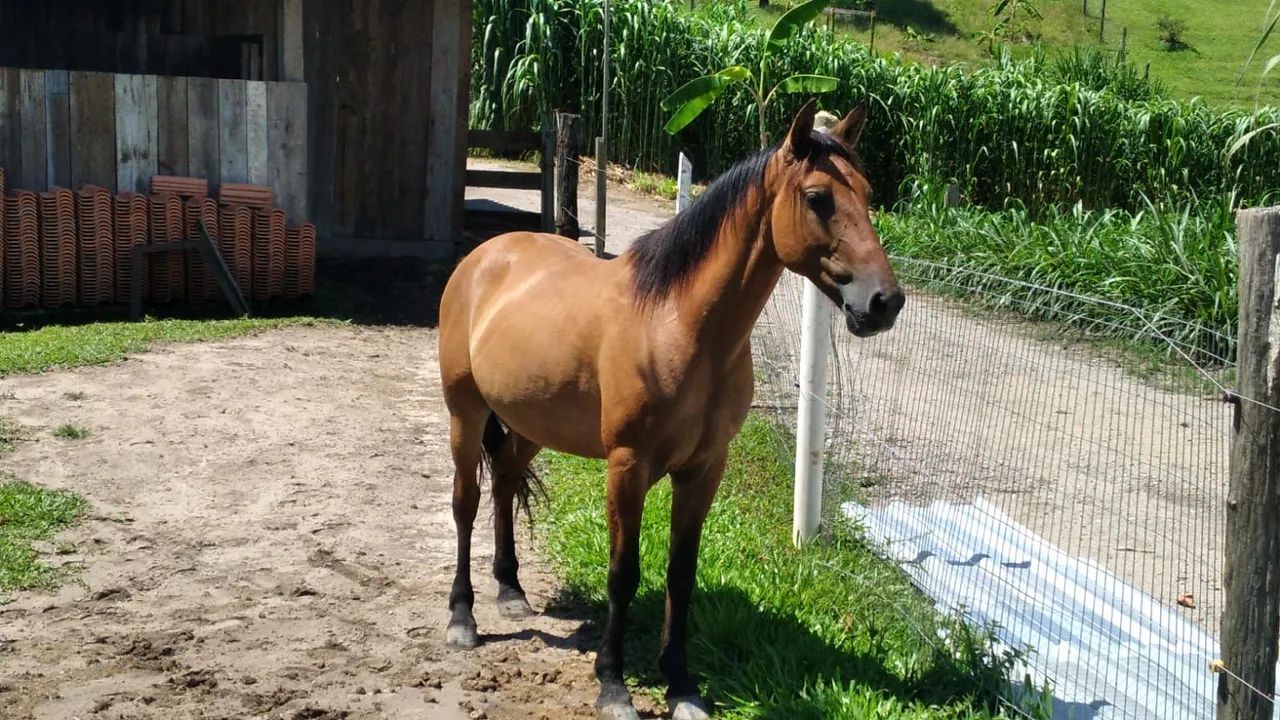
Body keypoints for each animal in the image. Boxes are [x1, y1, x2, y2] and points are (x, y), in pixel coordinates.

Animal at [436, 99, 905, 720]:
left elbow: (680, 575)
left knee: (507, 483)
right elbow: (623, 574)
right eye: (817, 198)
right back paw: (462, 616)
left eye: (869, 194)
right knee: (465, 503)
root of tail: (485, 256)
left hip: (529, 422)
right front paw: (613, 685)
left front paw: (681, 684)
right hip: (465, 414)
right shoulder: (628, 466)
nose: (884, 302)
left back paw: (510, 591)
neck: (678, 323)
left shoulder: (704, 469)